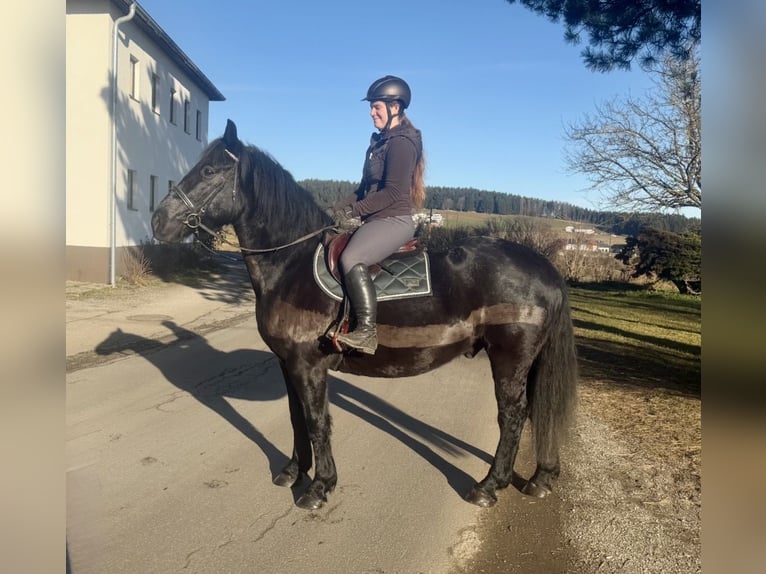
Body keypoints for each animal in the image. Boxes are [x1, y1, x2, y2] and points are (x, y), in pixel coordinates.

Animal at [151, 119, 577, 510]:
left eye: (209, 171)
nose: (158, 221)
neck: (290, 264)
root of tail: (545, 267)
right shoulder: (287, 363)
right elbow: (296, 417)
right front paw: (293, 471)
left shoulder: (308, 365)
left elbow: (317, 421)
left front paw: (319, 487)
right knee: (535, 410)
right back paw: (541, 477)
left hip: (510, 357)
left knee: (514, 415)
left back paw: (489, 486)